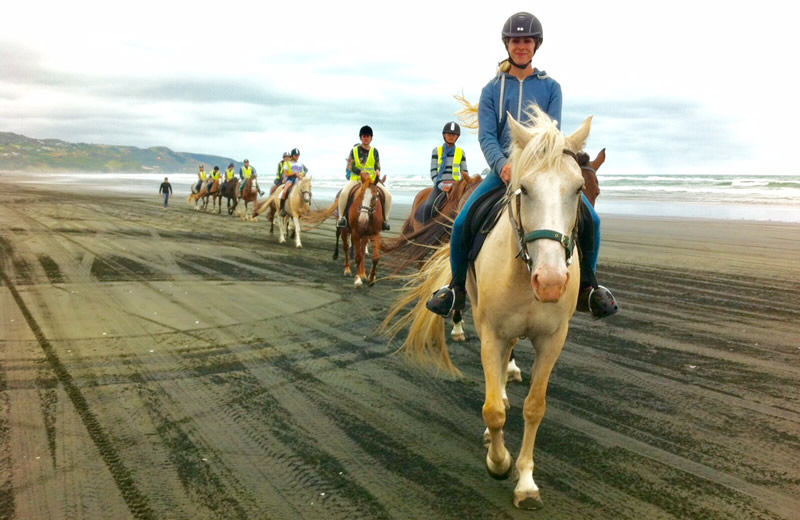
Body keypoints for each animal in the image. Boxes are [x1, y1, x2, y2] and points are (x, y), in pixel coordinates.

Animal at [378, 107, 592, 510]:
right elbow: (492, 410)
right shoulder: (491, 333)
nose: (551, 281)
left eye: (578, 190)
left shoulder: (552, 340)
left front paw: (526, 481)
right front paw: (499, 461)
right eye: (525, 189)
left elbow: (534, 407)